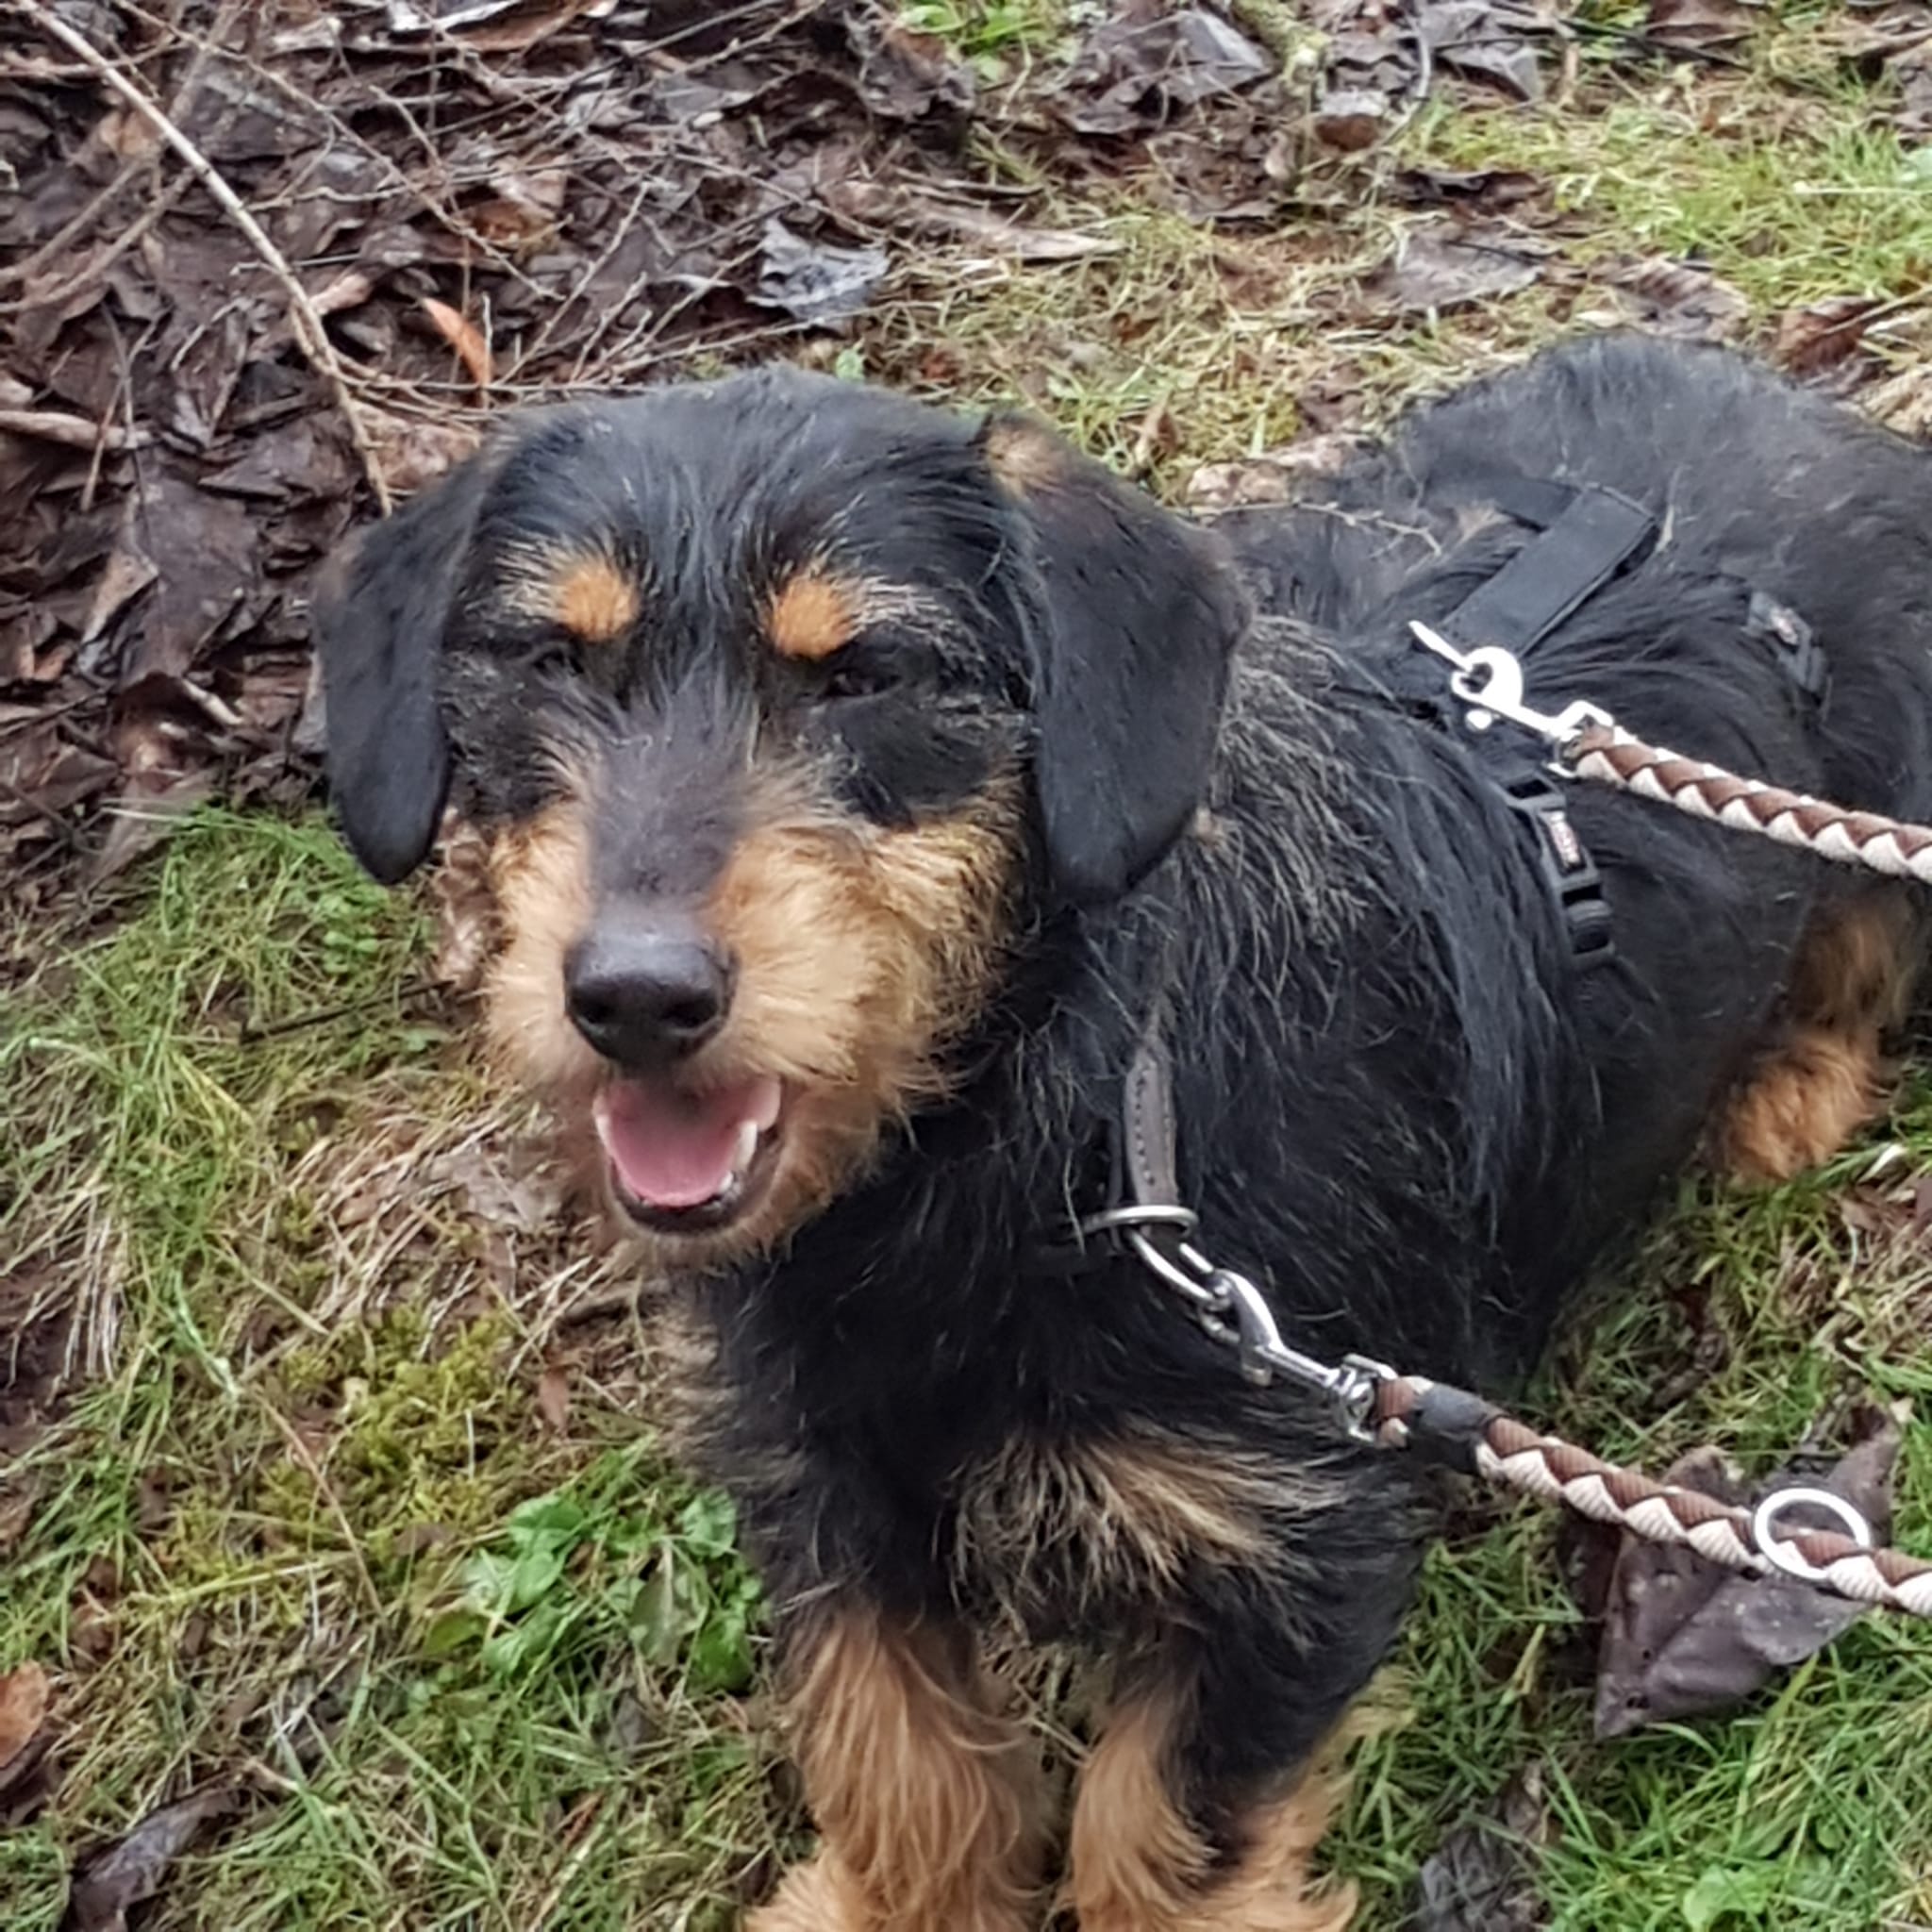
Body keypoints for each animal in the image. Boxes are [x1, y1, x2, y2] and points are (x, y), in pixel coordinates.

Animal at [313, 333, 1932, 1930]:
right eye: (548, 660)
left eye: (869, 674)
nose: (635, 998)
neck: (1028, 1143)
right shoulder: (830, 1483)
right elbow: (899, 1760)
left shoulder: (1294, 1543)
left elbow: (1157, 1839)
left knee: (1859, 958)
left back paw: (1784, 1089)